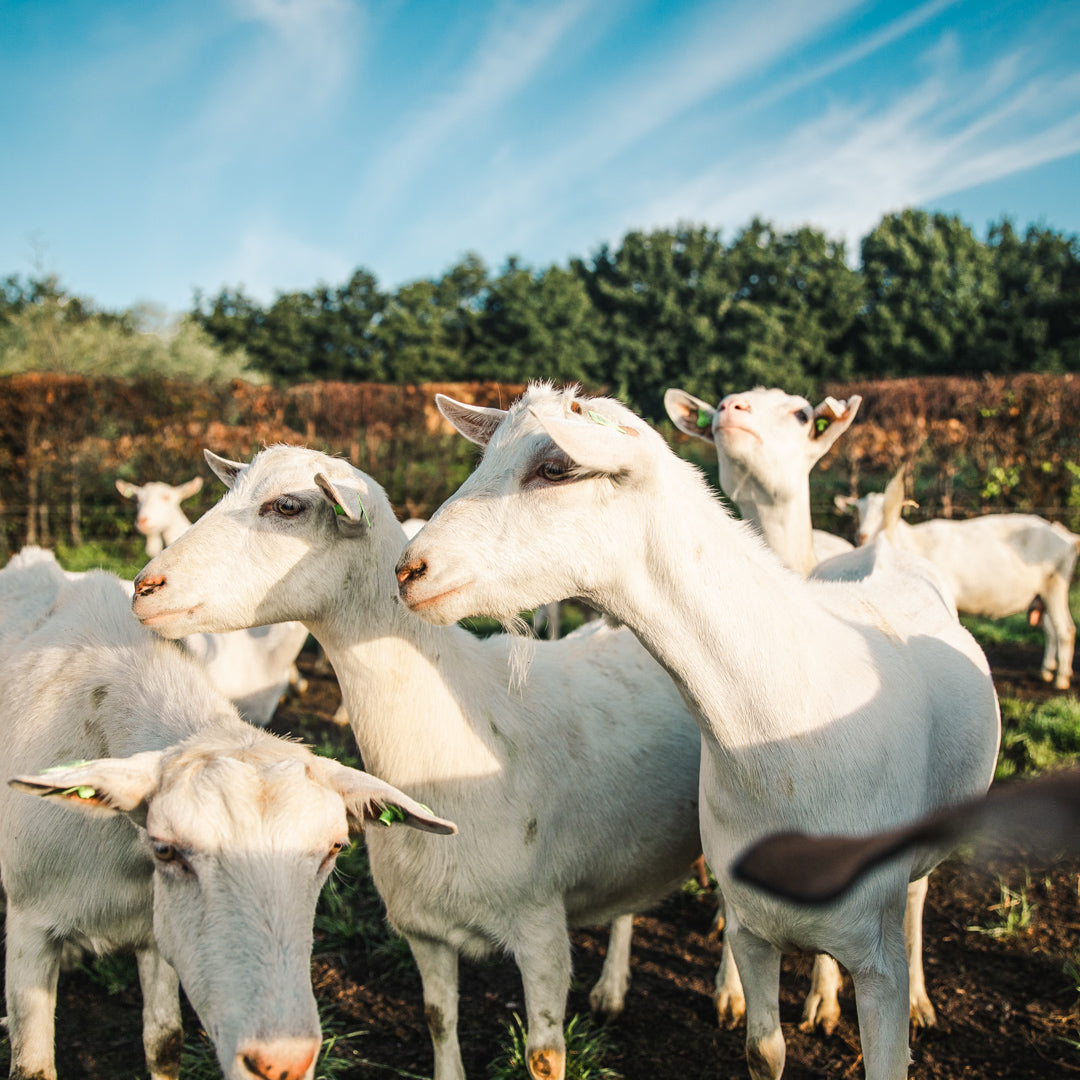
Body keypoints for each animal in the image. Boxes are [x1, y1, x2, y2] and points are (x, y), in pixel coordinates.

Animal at [0, 552, 451, 1080]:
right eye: (166, 850)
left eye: (335, 848)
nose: (281, 1061)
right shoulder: (29, 925)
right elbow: (33, 1066)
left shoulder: (154, 929)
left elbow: (164, 1043)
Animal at [128, 444, 708, 1080]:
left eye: (287, 506)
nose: (144, 587)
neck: (459, 727)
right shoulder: (424, 930)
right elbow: (438, 1020)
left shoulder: (541, 931)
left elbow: (544, 1056)